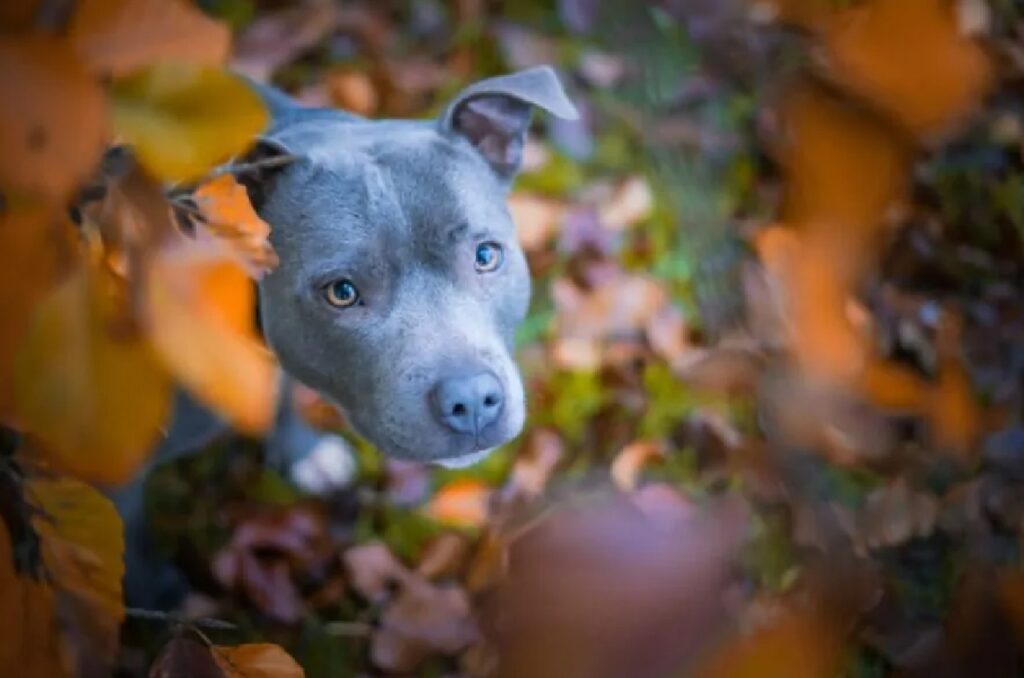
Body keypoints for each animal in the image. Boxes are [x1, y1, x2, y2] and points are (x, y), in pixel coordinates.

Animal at [117, 67, 581, 610]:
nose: (471, 401)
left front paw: (303, 454)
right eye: (342, 292)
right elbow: (129, 539)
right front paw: (156, 598)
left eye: (486, 256)